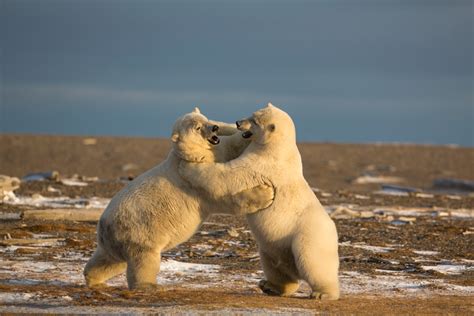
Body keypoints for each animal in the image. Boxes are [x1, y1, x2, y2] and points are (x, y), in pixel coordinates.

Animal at [83, 108, 272, 288]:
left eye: (206, 119)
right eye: (198, 128)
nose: (214, 128)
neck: (186, 155)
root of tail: (104, 229)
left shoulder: (217, 150)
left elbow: (230, 146)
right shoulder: (194, 180)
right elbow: (222, 193)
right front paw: (266, 194)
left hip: (115, 243)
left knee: (109, 261)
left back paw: (93, 278)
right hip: (138, 235)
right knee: (143, 263)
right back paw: (147, 286)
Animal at [179, 104, 340, 302]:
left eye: (254, 121)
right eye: (251, 114)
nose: (238, 122)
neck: (278, 148)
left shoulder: (261, 164)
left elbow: (230, 174)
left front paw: (190, 166)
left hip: (309, 235)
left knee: (313, 261)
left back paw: (323, 293)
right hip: (274, 247)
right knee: (275, 266)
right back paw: (270, 286)